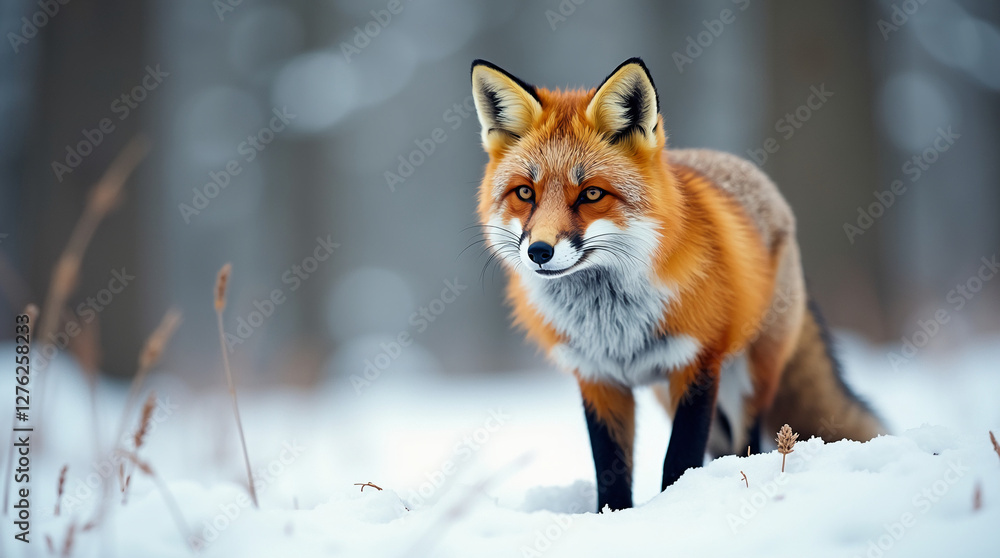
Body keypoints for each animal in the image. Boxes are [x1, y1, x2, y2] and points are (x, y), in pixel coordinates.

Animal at [470, 57, 885, 511]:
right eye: (525, 193)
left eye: (592, 194)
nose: (539, 252)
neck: (612, 323)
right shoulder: (598, 378)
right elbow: (611, 470)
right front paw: (613, 516)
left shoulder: (697, 364)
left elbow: (680, 458)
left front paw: (673, 505)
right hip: (669, 395)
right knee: (721, 447)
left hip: (747, 377)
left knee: (748, 442)